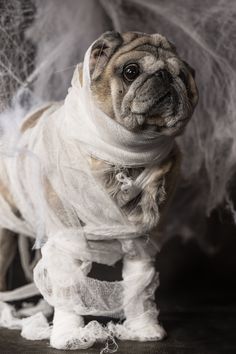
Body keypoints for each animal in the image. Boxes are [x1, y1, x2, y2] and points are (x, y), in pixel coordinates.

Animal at [0, 31, 197, 350]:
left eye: (181, 75)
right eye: (131, 71)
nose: (165, 75)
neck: (121, 155)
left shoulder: (141, 242)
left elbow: (139, 289)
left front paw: (144, 328)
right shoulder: (67, 240)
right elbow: (69, 293)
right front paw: (69, 335)